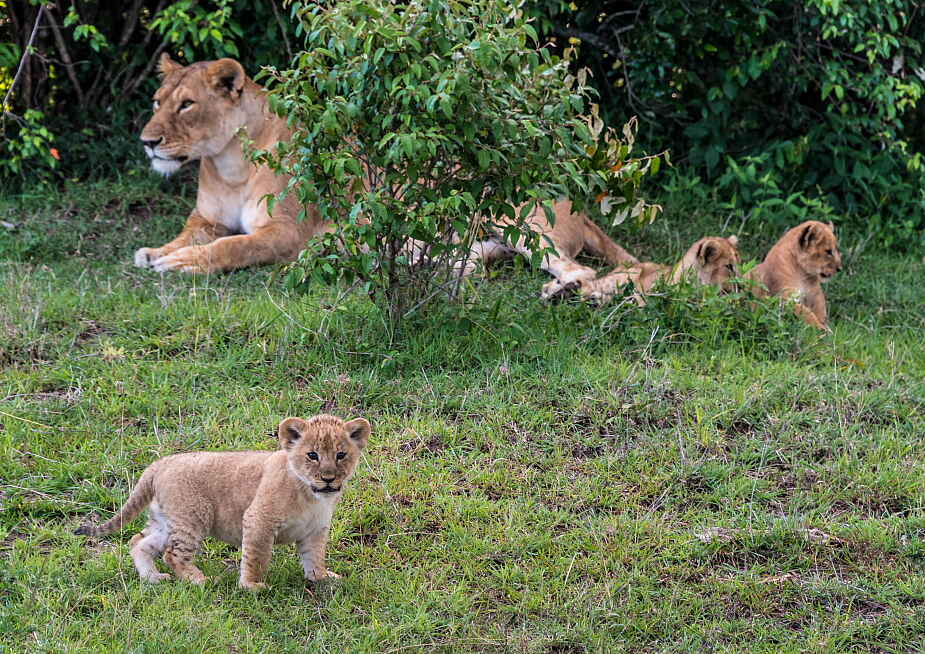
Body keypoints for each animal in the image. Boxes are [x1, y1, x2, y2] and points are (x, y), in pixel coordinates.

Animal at [75, 414, 371, 591]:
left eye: (341, 455)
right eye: (312, 455)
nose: (329, 479)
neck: (312, 495)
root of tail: (159, 464)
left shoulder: (315, 530)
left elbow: (315, 556)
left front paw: (322, 579)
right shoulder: (258, 520)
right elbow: (257, 557)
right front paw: (252, 586)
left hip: (166, 521)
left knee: (138, 542)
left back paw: (153, 578)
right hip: (193, 516)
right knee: (173, 554)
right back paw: (200, 581)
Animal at [133, 54, 328, 273]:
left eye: (187, 104)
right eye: (157, 102)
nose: (147, 142)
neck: (233, 167)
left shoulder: (290, 230)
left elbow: (234, 245)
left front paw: (183, 260)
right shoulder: (207, 219)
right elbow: (185, 236)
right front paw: (154, 253)